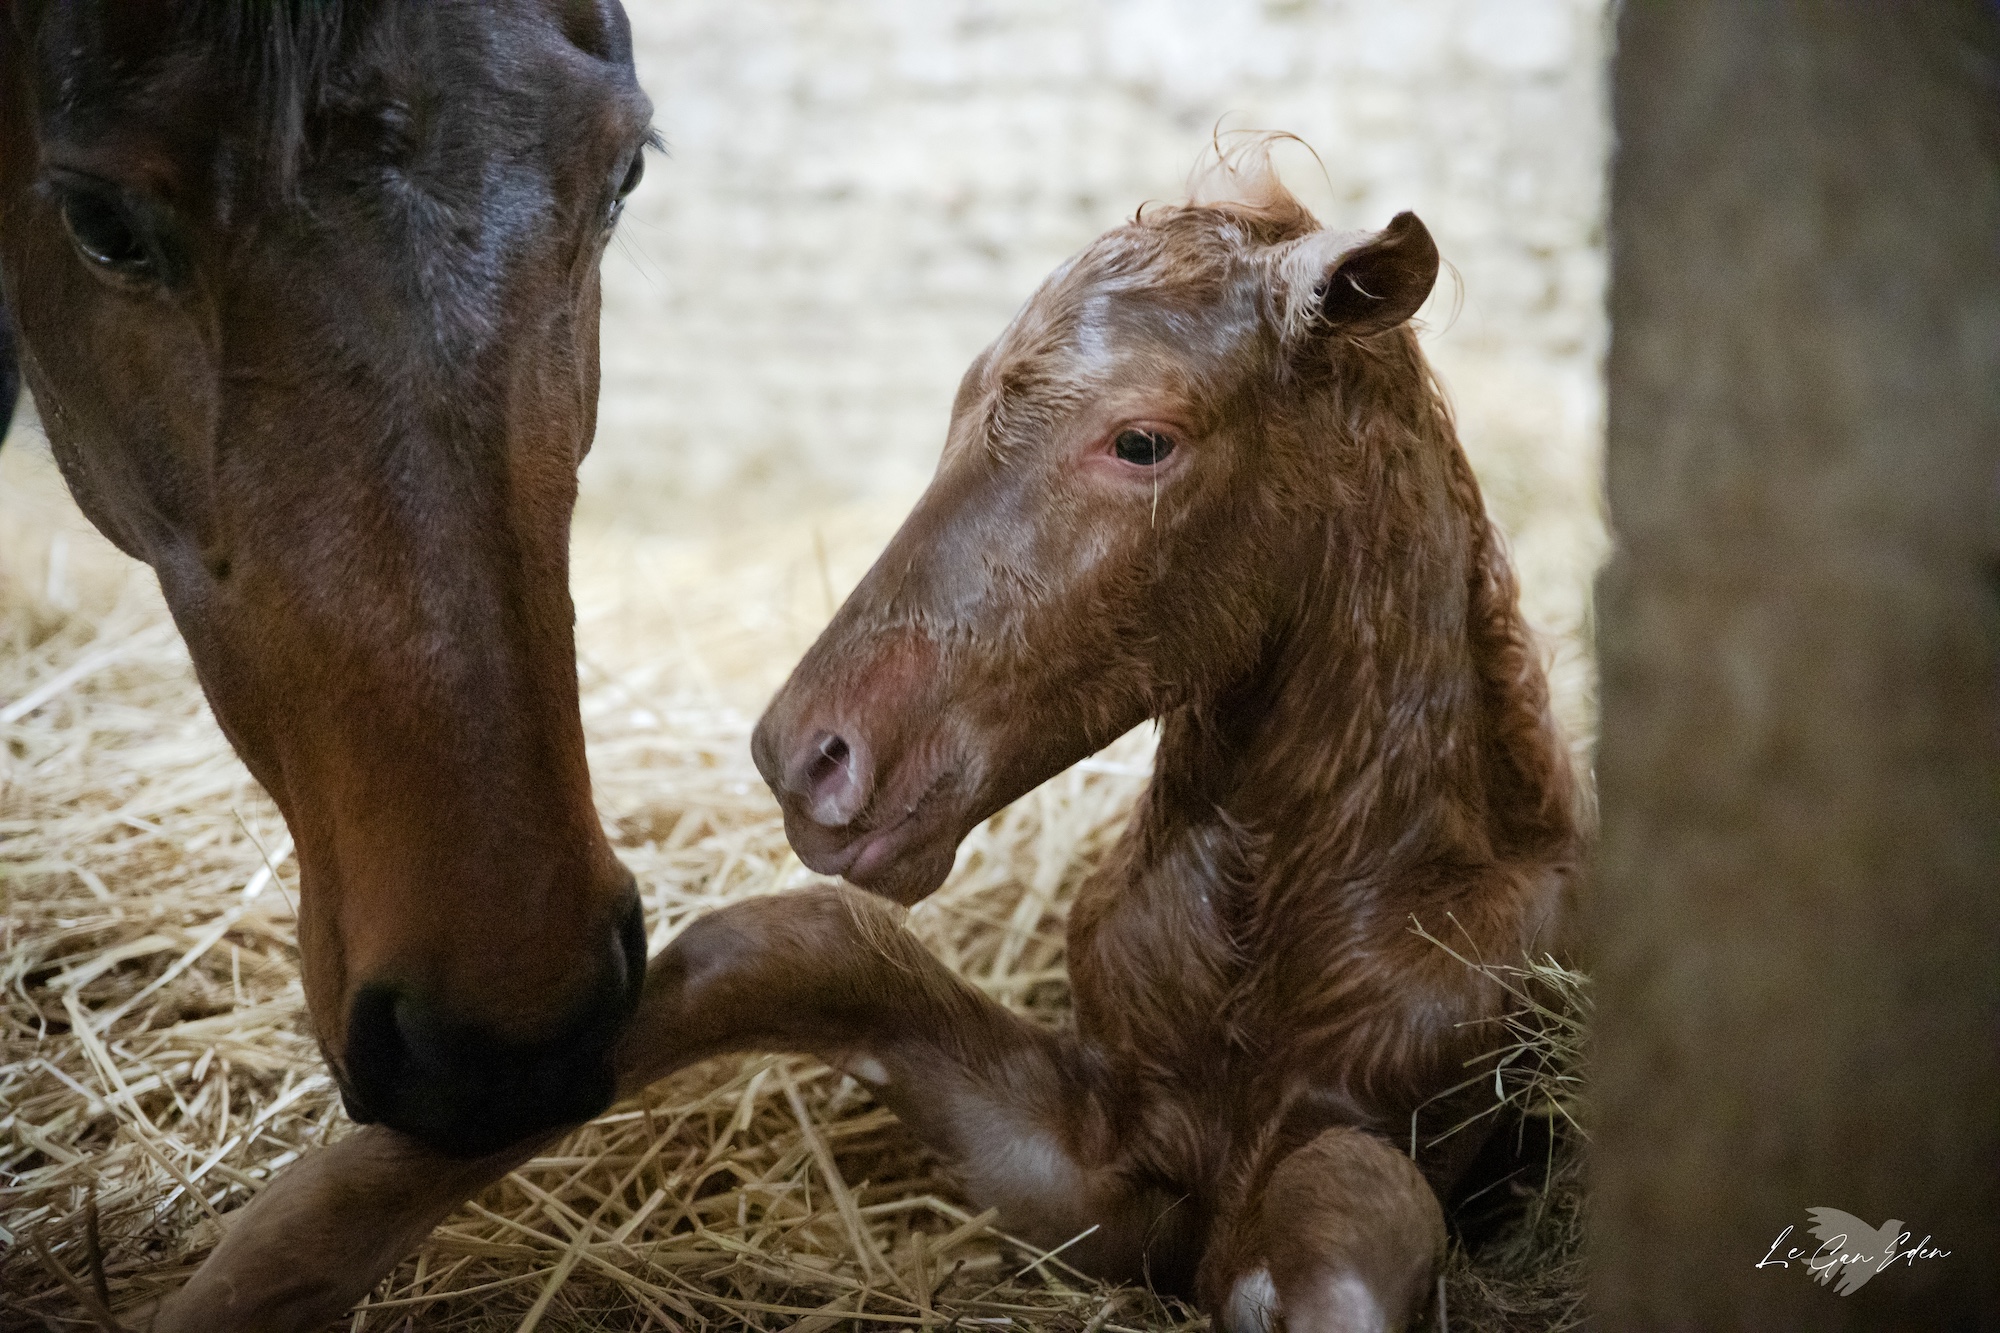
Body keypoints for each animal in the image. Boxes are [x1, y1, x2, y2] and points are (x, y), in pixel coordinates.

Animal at [141, 146, 1580, 1333]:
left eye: (1142, 440)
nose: (808, 755)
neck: (1277, 939)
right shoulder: (1088, 1169)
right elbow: (776, 951)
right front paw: (258, 1271)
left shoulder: (1362, 1132)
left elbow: (1346, 1234)